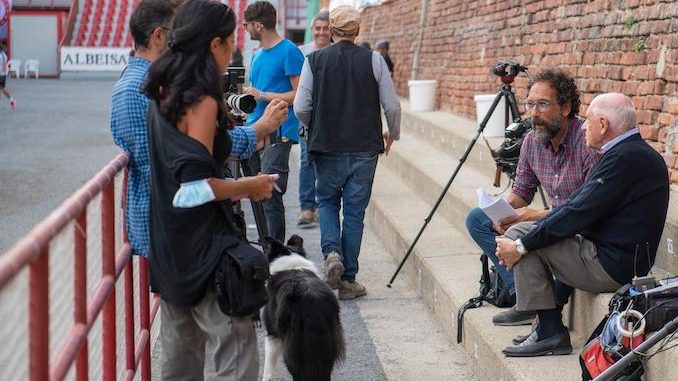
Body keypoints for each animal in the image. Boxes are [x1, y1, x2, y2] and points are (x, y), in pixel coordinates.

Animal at [260, 235, 346, 380]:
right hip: (329, 343)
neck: (291, 262)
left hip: (293, 347)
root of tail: (312, 304)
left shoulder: (272, 334)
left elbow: (268, 369)